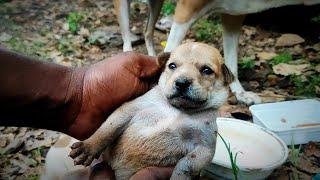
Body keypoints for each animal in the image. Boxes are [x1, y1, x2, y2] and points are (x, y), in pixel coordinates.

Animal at [113, 0, 318, 104]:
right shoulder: (185, 10)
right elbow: (173, 49)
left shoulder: (234, 14)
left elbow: (231, 63)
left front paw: (240, 93)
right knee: (127, 37)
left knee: (147, 32)